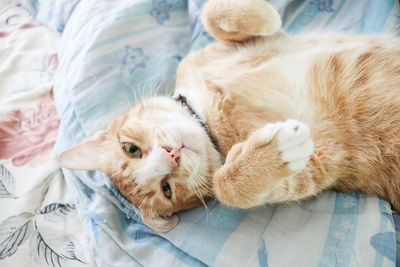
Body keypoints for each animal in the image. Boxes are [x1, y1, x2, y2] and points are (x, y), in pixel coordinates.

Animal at [57, 0, 400, 232]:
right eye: (166, 189)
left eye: (131, 149)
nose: (171, 156)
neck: (205, 115)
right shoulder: (328, 160)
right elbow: (228, 188)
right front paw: (272, 154)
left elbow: (212, 14)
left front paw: (267, 16)